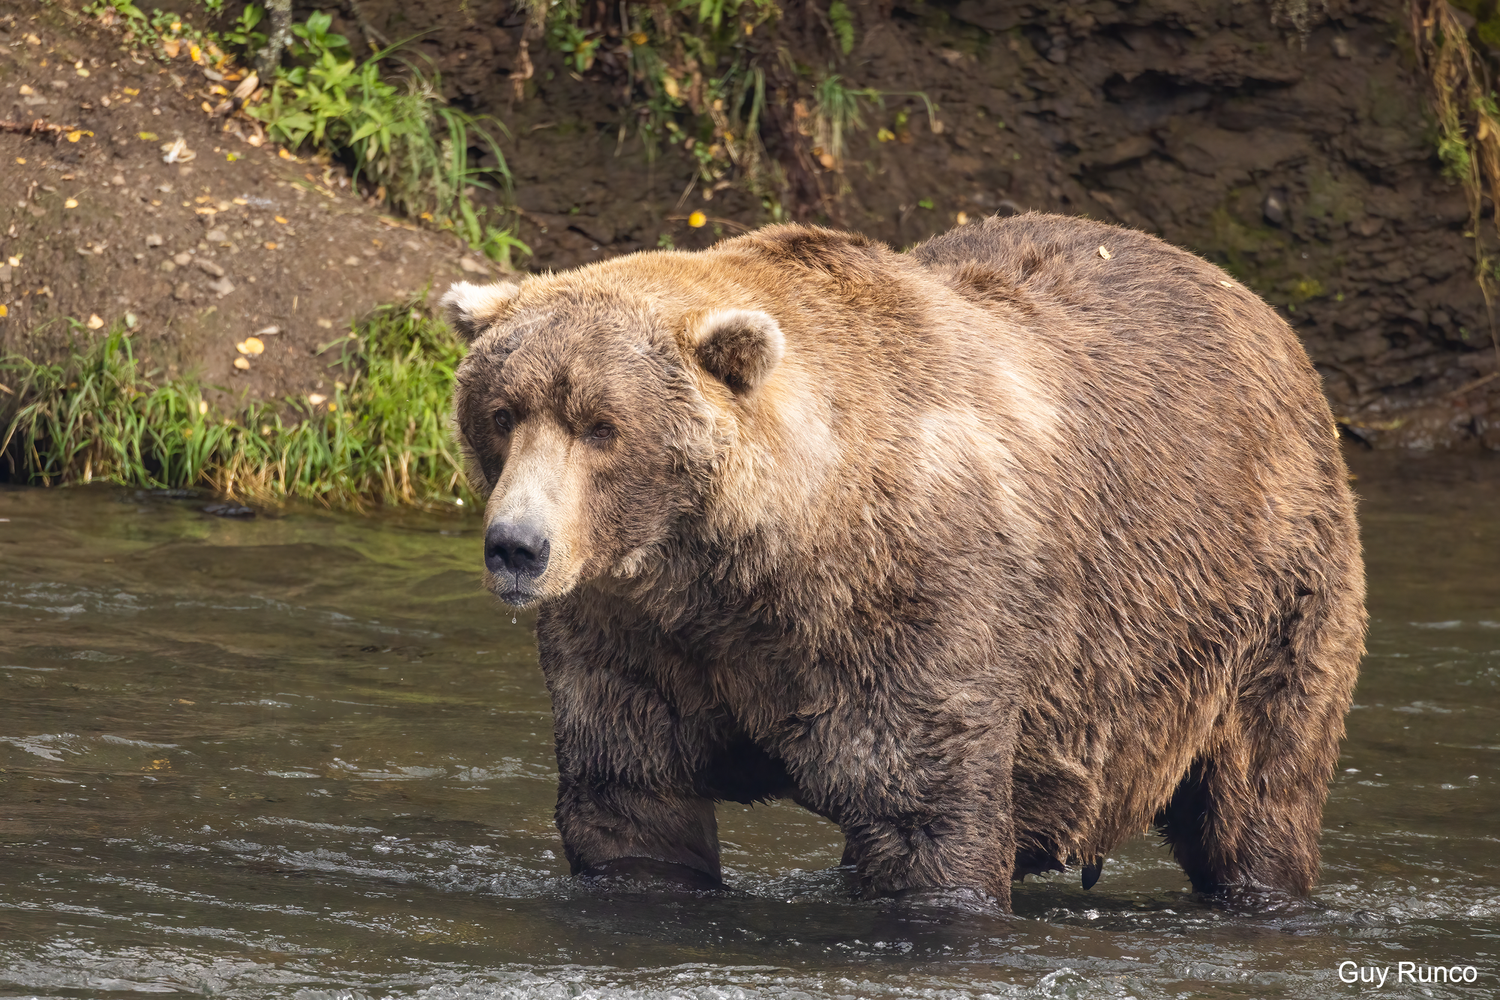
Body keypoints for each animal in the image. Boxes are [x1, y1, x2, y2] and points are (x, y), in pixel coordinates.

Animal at [443, 212, 1365, 912]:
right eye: (503, 411)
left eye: (602, 425)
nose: (517, 546)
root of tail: (1250, 301)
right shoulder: (636, 633)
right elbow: (634, 803)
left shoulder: (917, 608)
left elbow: (926, 817)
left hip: (1264, 595)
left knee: (1259, 790)